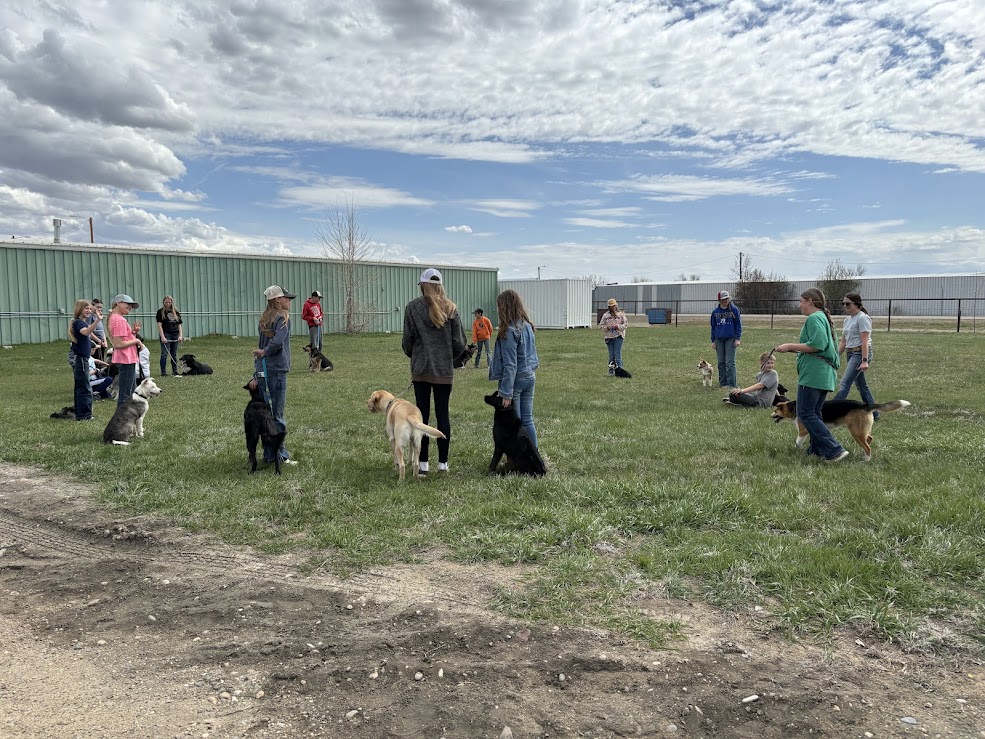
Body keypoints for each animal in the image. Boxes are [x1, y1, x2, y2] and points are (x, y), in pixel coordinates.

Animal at [772, 398, 912, 462]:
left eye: (775, 410)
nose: (771, 415)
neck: (793, 408)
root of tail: (865, 405)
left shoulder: (802, 432)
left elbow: (797, 443)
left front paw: (794, 451)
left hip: (856, 432)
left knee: (868, 446)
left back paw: (866, 459)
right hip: (861, 431)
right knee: (869, 439)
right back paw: (864, 455)